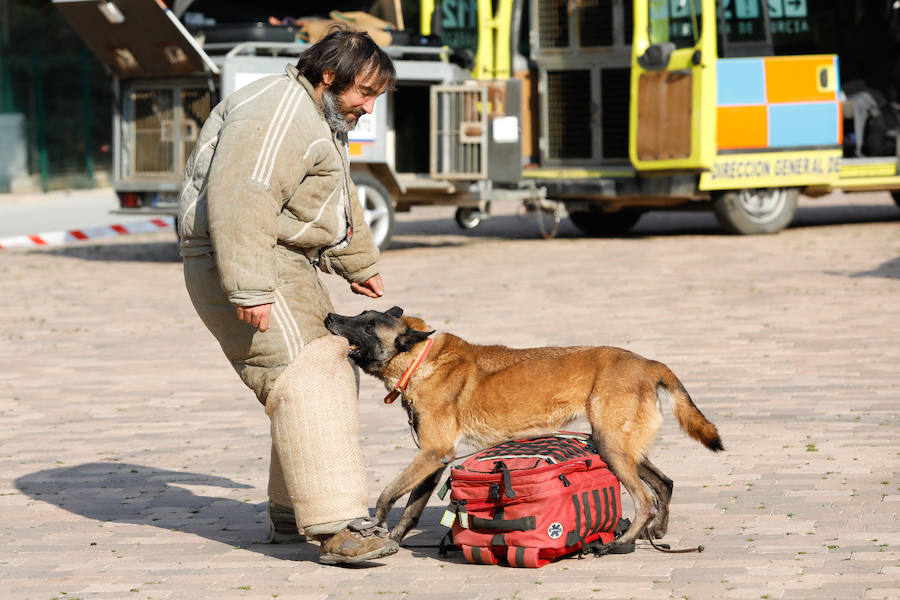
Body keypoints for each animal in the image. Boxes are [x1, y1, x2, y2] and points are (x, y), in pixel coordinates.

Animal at [324, 308, 724, 552]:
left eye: (368, 326)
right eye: (359, 314)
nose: (330, 316)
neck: (421, 358)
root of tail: (649, 363)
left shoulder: (432, 454)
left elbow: (386, 495)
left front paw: (373, 525)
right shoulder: (433, 462)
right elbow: (410, 509)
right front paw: (390, 541)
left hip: (611, 447)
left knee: (644, 500)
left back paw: (618, 542)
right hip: (618, 446)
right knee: (663, 485)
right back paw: (655, 534)